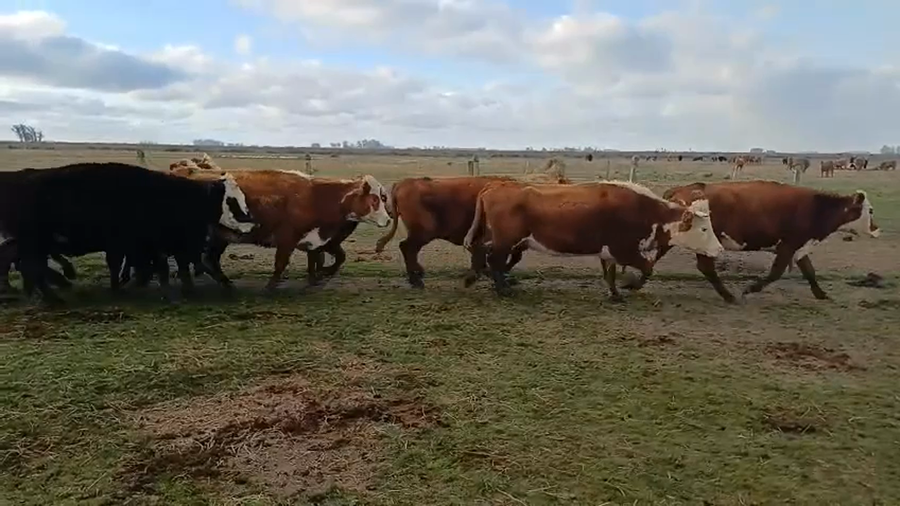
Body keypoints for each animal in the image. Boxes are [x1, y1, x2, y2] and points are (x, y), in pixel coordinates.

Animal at [0, 162, 255, 304]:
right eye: (231, 200)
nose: (251, 221)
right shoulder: (141, 244)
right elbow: (156, 268)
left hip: (33, 244)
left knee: (27, 266)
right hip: (34, 243)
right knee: (31, 267)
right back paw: (54, 295)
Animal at [170, 167, 390, 291]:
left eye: (383, 197)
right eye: (374, 199)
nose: (388, 220)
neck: (316, 196)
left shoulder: (317, 239)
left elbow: (325, 259)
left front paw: (316, 278)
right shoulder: (287, 239)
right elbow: (281, 264)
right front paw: (270, 288)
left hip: (219, 237)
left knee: (209, 259)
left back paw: (224, 284)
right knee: (195, 259)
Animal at [374, 173, 570, 288]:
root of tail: (404, 183)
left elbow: (502, 257)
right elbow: (492, 257)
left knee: (409, 250)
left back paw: (418, 273)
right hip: (423, 233)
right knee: (407, 248)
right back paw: (416, 280)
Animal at [462, 180, 724, 300]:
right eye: (703, 228)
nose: (719, 249)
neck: (644, 210)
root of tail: (496, 186)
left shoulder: (609, 252)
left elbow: (610, 273)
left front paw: (615, 294)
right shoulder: (624, 250)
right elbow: (647, 268)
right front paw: (630, 285)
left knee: (482, 253)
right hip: (505, 241)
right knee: (494, 260)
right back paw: (502, 289)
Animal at [660, 181, 881, 303]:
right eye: (870, 210)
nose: (877, 229)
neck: (817, 208)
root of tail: (680, 190)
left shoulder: (799, 247)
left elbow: (809, 271)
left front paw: (821, 294)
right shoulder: (787, 246)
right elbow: (775, 273)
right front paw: (749, 289)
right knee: (706, 267)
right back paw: (729, 296)